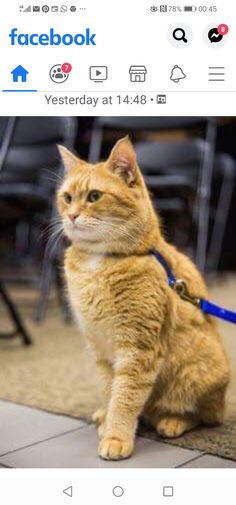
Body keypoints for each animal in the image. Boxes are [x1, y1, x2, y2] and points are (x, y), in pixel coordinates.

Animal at [57, 138, 230, 460]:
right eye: (67, 197)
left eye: (94, 196)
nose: (71, 216)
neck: (99, 261)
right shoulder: (101, 348)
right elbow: (110, 389)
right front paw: (108, 418)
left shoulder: (138, 348)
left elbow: (125, 395)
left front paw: (116, 437)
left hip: (199, 375)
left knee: (205, 415)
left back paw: (173, 421)